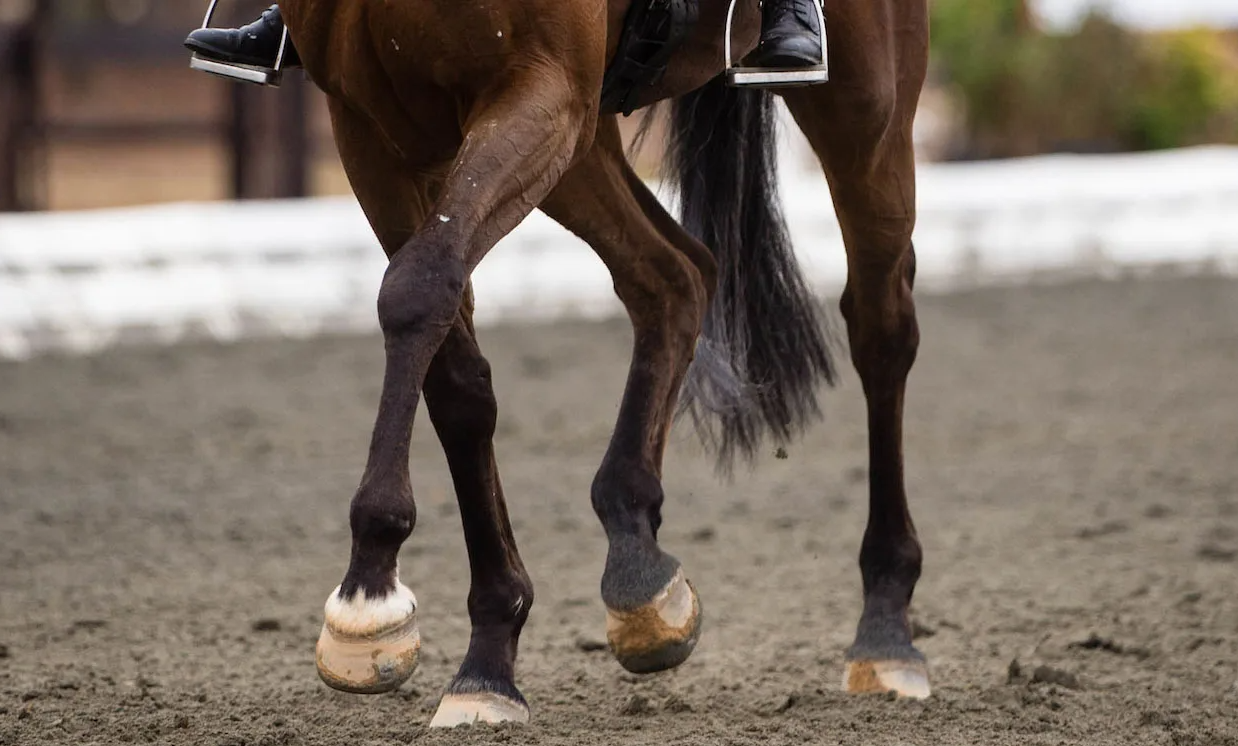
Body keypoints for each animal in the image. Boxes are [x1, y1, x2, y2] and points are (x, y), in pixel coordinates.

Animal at [278, 0, 930, 727]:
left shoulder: (540, 90)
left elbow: (418, 289)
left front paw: (369, 592)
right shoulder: (369, 127)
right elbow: (453, 376)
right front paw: (485, 660)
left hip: (865, 101)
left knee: (880, 327)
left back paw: (886, 632)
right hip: (586, 141)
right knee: (675, 277)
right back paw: (638, 567)